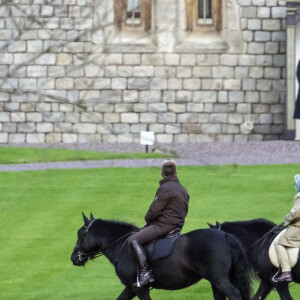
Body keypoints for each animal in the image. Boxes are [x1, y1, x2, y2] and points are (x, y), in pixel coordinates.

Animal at [71, 213, 251, 300]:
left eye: (80, 234)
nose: (73, 258)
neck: (122, 246)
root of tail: (225, 236)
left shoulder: (139, 288)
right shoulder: (130, 288)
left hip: (220, 280)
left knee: (235, 295)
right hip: (216, 282)